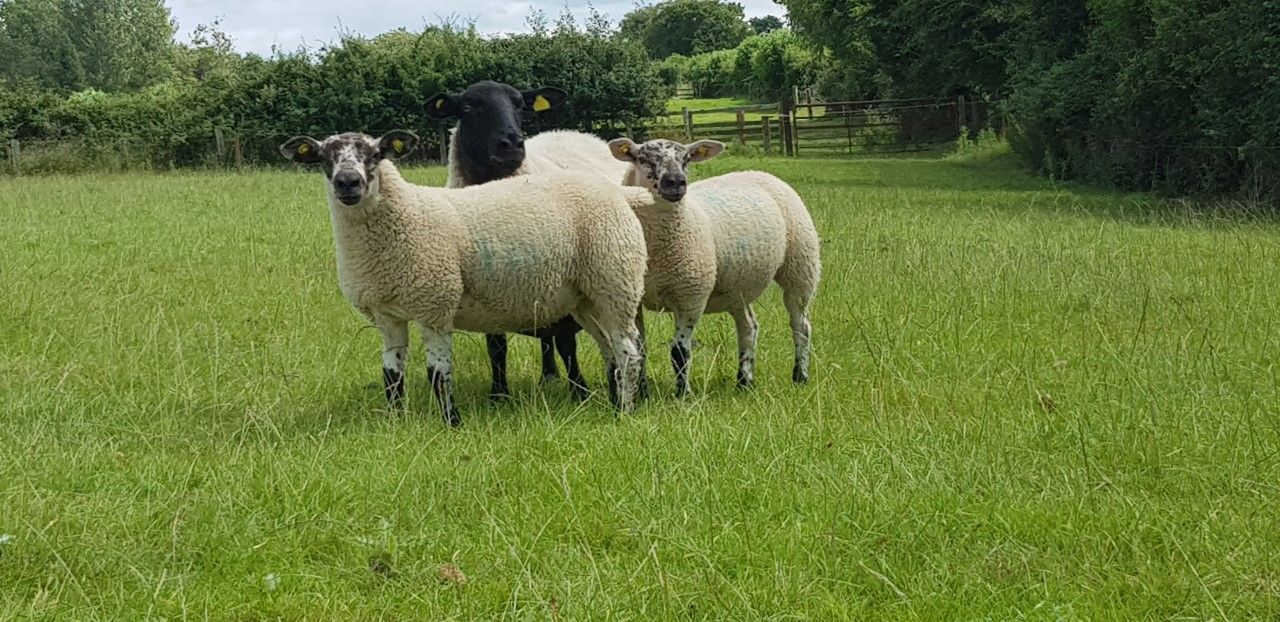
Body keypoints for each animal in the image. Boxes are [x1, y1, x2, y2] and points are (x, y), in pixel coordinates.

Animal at [280, 130, 649, 425]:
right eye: (324, 158)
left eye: (374, 155)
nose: (348, 183)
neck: (407, 213)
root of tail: (618, 193)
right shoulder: (386, 316)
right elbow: (391, 375)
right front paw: (395, 422)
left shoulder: (435, 306)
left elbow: (437, 374)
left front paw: (451, 423)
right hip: (585, 297)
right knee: (610, 349)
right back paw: (614, 400)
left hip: (615, 280)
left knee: (629, 350)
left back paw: (624, 412)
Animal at [425, 80, 629, 401]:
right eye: (468, 106)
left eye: (520, 104)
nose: (511, 144)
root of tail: (573, 132)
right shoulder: (484, 285)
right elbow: (496, 345)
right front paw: (499, 394)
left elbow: (566, 344)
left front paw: (579, 391)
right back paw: (548, 375)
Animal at [607, 137, 821, 395]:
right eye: (644, 159)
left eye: (687, 159)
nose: (676, 182)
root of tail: (759, 172)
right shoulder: (634, 300)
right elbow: (641, 348)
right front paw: (642, 393)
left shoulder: (691, 296)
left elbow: (680, 352)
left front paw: (683, 394)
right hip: (738, 286)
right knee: (749, 326)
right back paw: (744, 381)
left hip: (801, 264)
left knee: (801, 325)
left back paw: (800, 376)